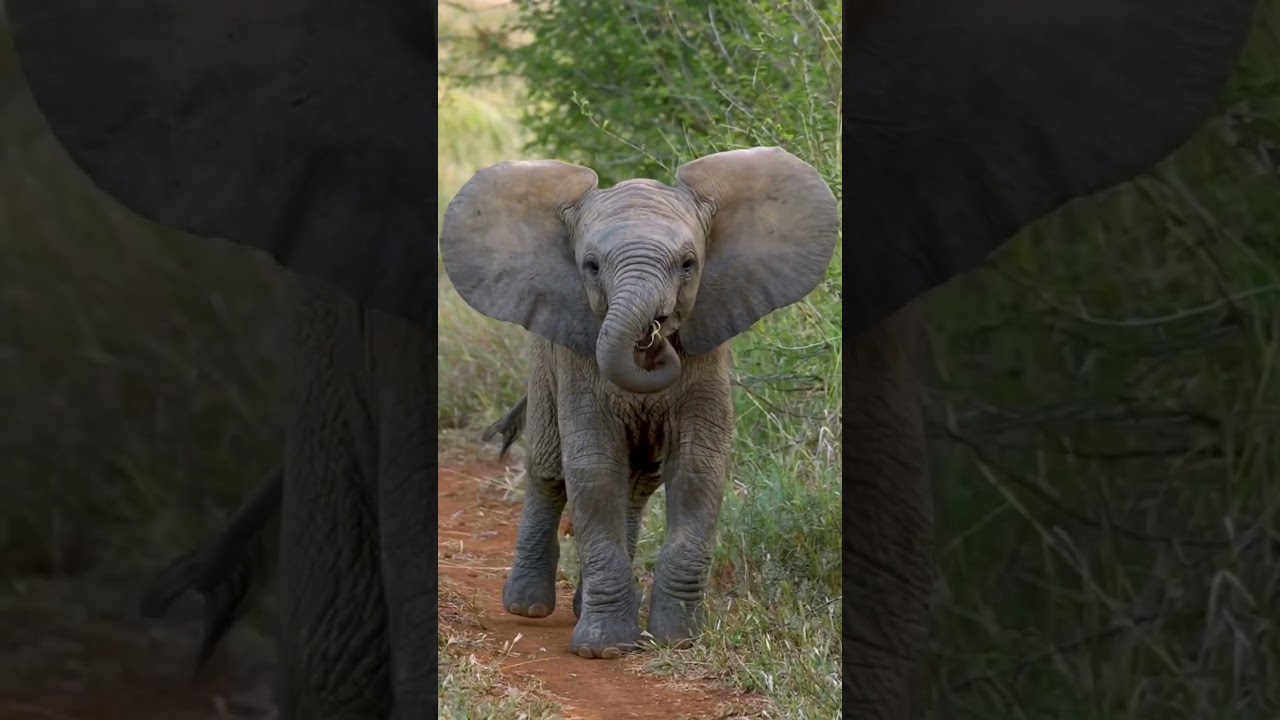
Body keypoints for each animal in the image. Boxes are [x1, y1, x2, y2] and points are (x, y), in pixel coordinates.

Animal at [2, 0, 1261, 717]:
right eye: (593, 271)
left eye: (695, 268)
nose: (650, 335)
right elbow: (598, 468)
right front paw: (607, 649)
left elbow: (702, 471)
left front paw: (671, 637)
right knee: (551, 481)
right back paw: (533, 607)